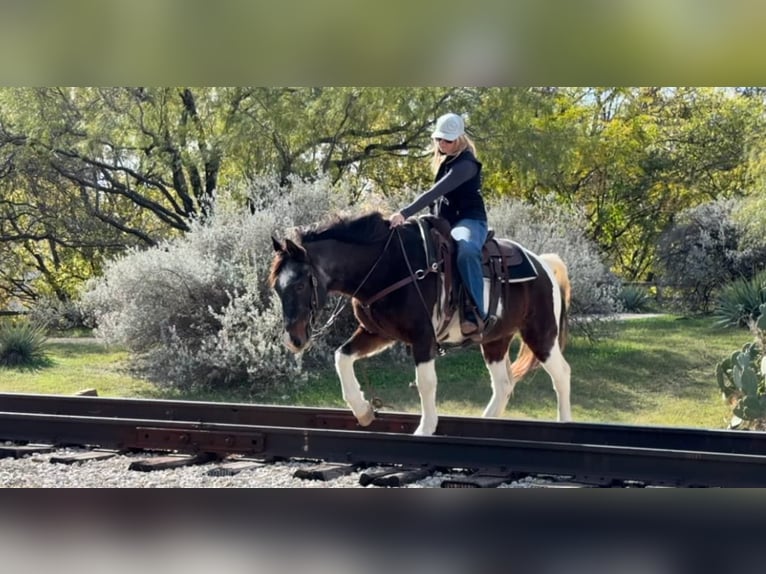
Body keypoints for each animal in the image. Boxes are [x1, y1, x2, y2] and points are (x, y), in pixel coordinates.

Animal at [269, 211, 571, 436]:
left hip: (541, 334)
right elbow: (341, 358)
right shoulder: (377, 333)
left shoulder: (423, 337)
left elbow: (425, 383)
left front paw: (425, 429)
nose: (293, 340)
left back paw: (565, 424)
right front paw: (363, 410)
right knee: (503, 385)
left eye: (299, 284)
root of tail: (542, 264)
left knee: (561, 374)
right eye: (277, 287)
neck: (387, 267)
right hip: (495, 341)